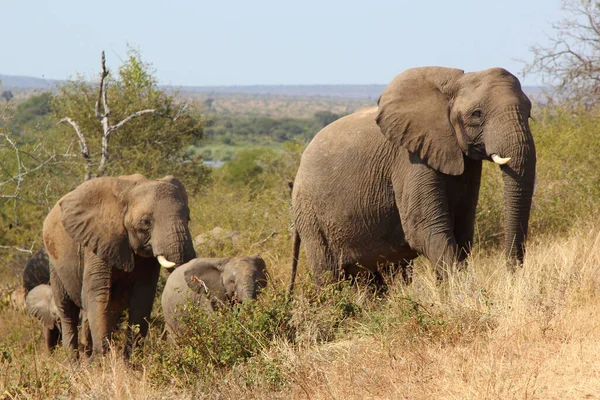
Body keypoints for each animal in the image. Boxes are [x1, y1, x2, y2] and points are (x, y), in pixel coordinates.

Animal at [43, 174, 196, 356]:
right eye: (146, 222)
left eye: (188, 218)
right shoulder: (98, 239)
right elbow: (97, 293)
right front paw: (103, 361)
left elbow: (142, 297)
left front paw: (130, 360)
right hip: (54, 263)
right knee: (67, 311)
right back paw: (74, 362)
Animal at [288, 67, 536, 290]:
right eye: (477, 114)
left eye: (529, 112)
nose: (510, 278)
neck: (453, 84)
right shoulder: (409, 159)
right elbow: (425, 229)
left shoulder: (466, 162)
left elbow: (462, 230)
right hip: (311, 217)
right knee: (328, 277)